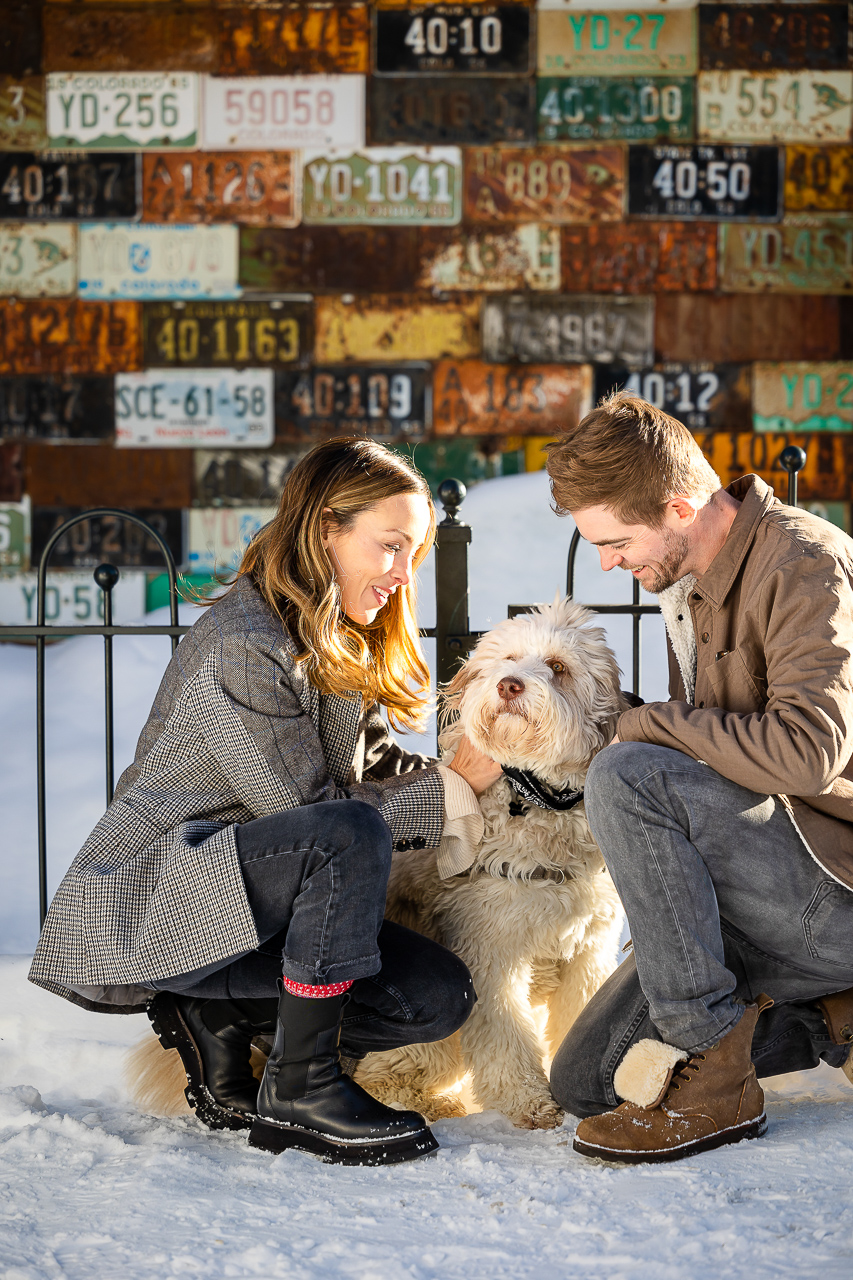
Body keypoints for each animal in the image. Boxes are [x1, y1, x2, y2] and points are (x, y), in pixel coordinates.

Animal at [350, 593, 625, 1126]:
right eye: (510, 658)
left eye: (558, 667)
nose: (509, 684)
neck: (536, 801)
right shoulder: (491, 950)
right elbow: (505, 1035)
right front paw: (530, 1102)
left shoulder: (589, 951)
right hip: (430, 1037)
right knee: (378, 1076)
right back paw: (436, 1103)